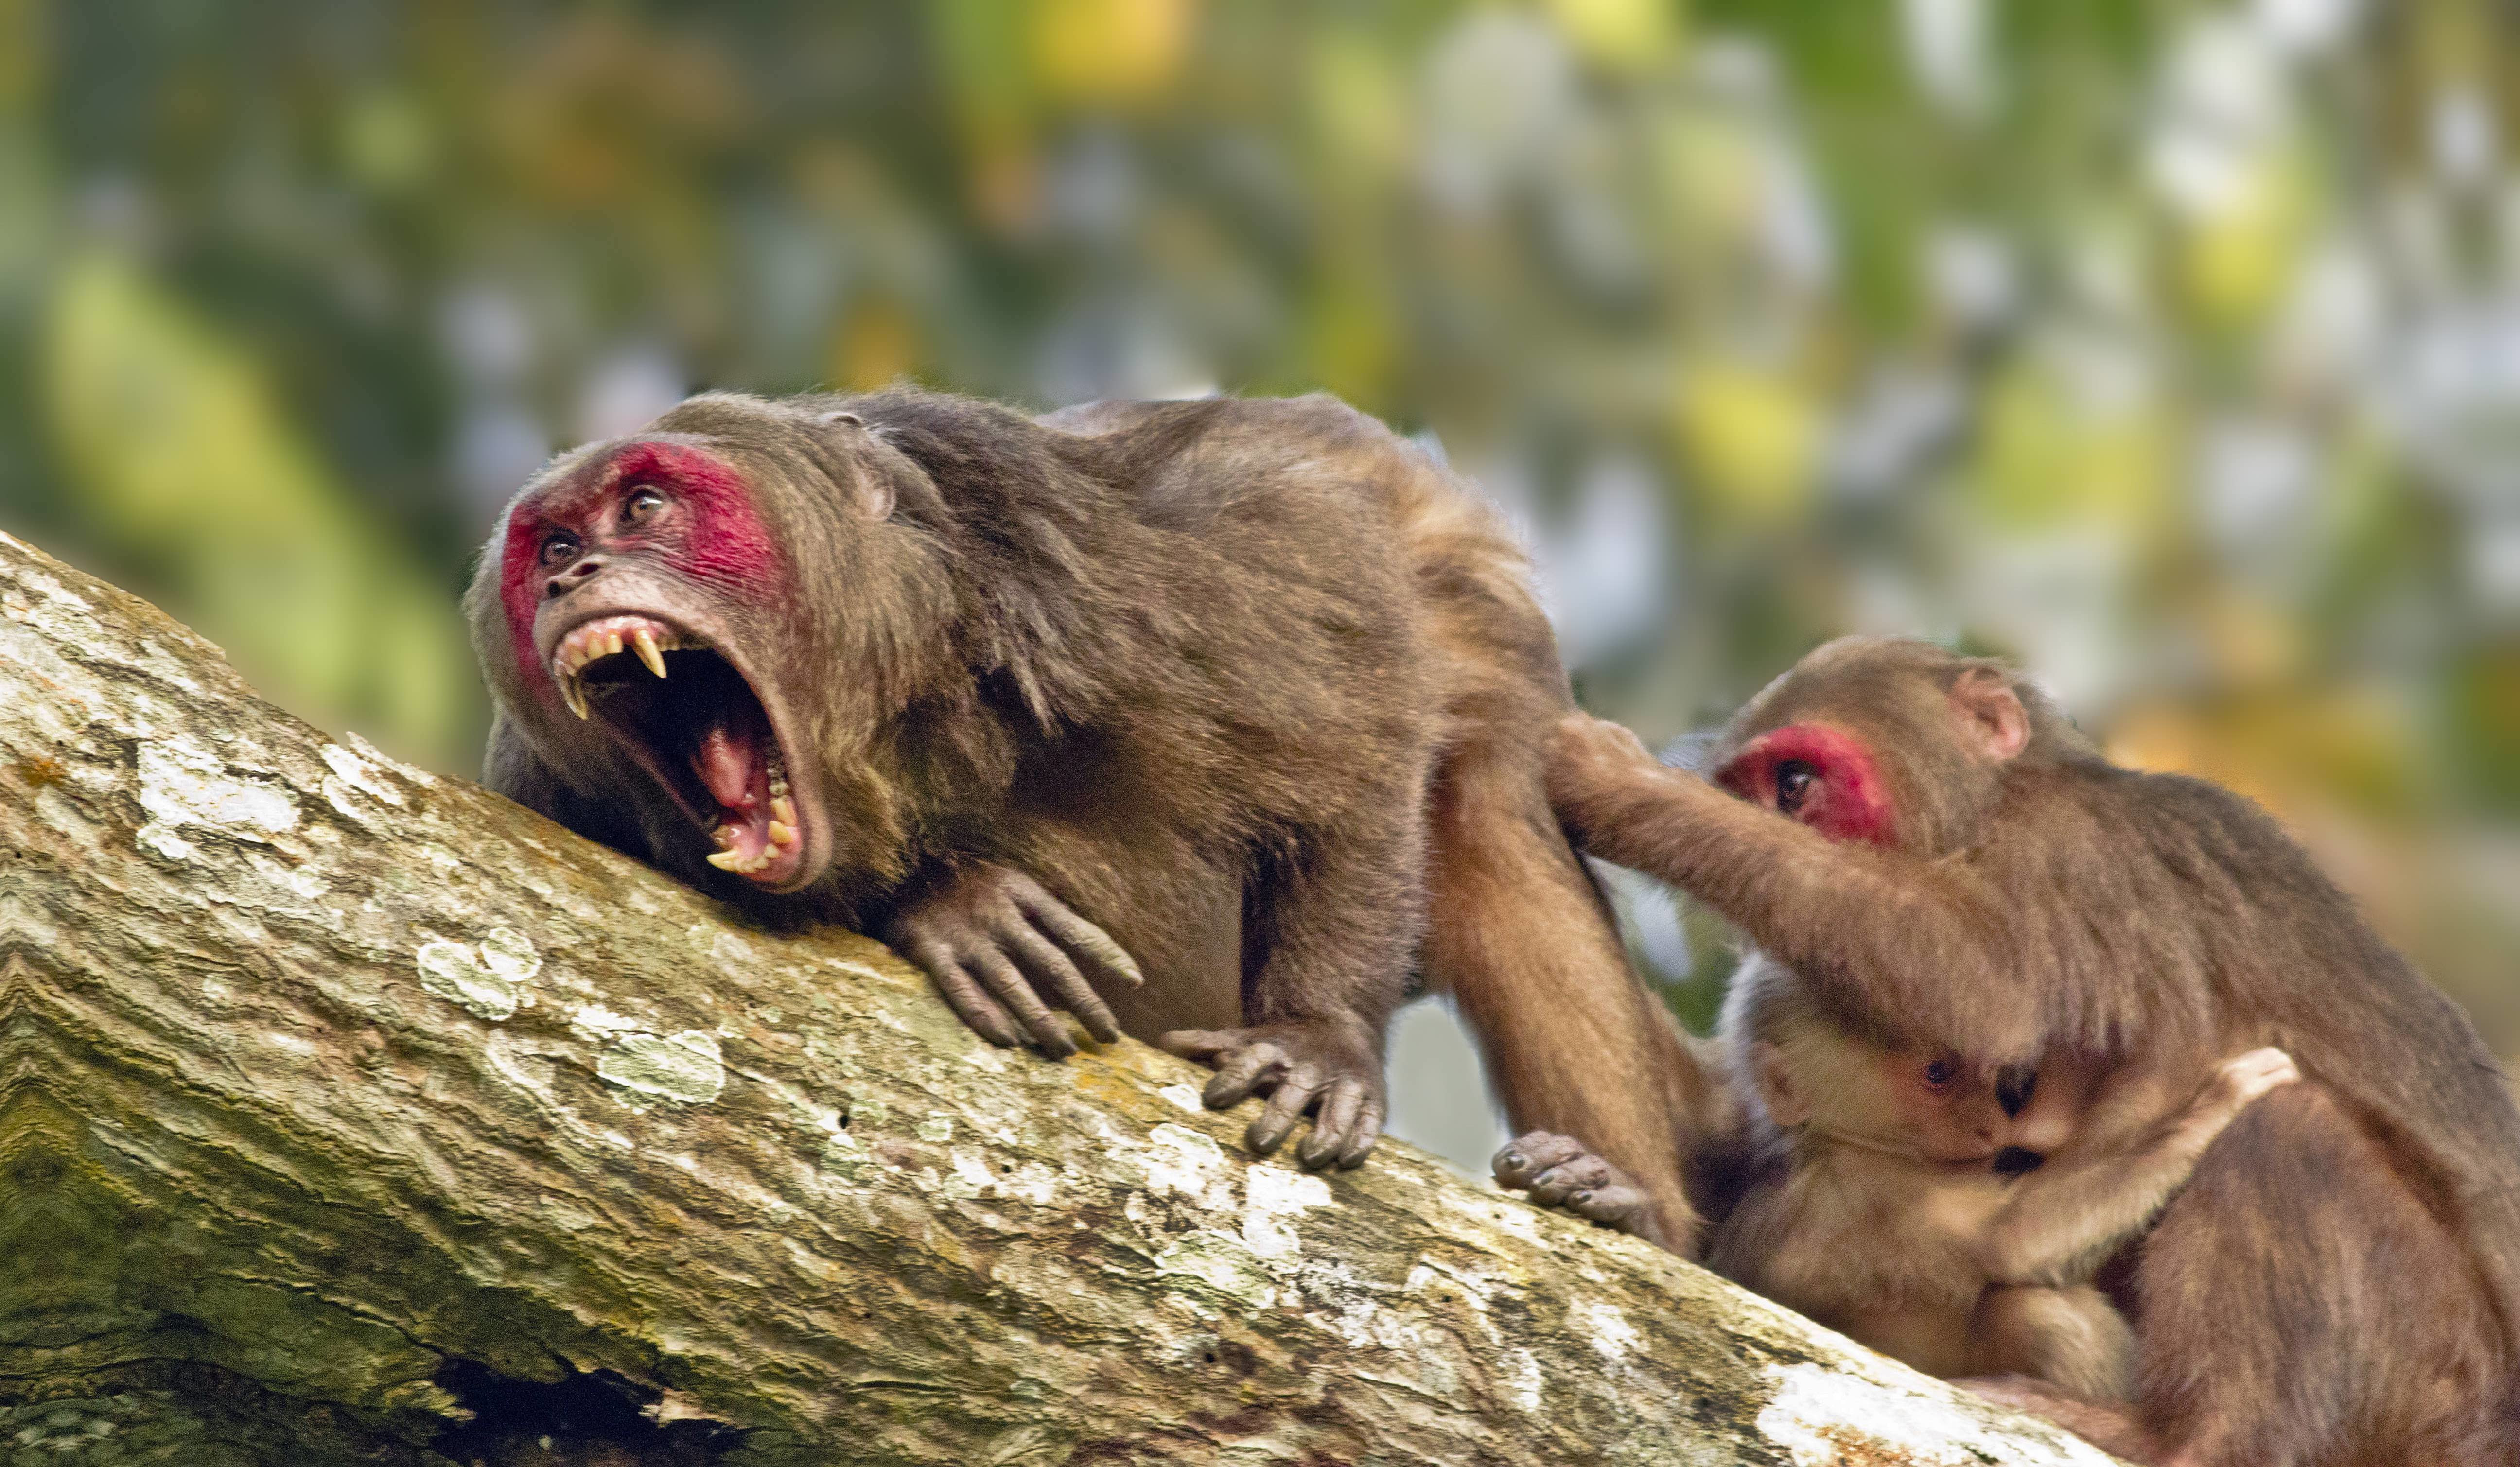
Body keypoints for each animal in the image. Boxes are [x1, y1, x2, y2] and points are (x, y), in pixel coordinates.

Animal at [463, 387, 1714, 1234]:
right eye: (556, 544)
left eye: (645, 506)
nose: (574, 576)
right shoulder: (543, 788)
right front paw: (954, 903)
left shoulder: (1114, 564)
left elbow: (1352, 685)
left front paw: (1318, 1036)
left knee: (1482, 798)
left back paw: (1618, 1198)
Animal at [1499, 952, 2300, 1409]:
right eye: (1939, 1073)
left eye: (1983, 1067)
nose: (1993, 1122)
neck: (1840, 1143)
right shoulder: (1891, 1191)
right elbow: (2017, 1241)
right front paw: (2214, 1105)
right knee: (2035, 1304)